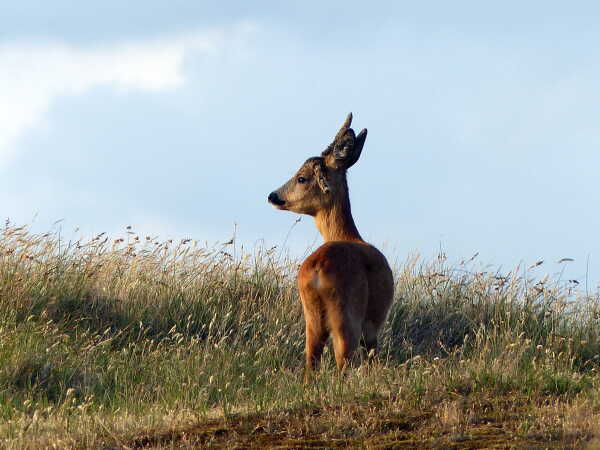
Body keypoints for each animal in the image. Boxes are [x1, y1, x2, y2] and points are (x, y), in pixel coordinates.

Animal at [268, 112, 394, 376]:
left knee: (311, 362)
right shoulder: (373, 322)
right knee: (343, 362)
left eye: (301, 177)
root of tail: (317, 271)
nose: (273, 196)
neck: (348, 235)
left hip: (312, 318)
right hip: (347, 316)